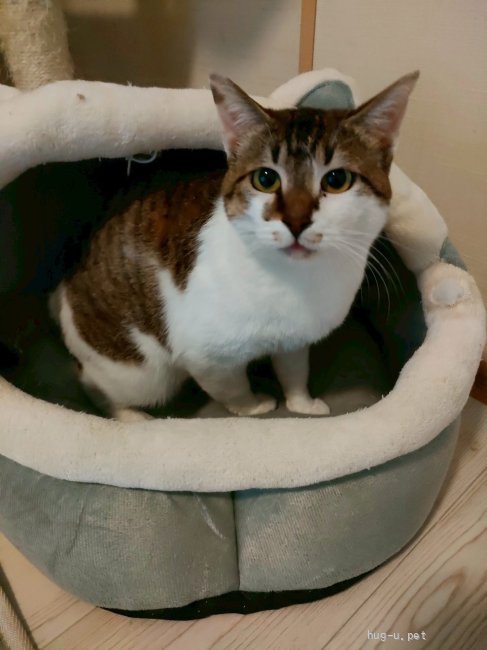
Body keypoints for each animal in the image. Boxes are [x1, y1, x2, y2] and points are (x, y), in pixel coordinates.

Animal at [54, 71, 418, 421]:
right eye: (265, 179)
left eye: (337, 180)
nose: (296, 222)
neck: (296, 281)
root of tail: (66, 287)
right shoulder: (207, 357)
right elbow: (232, 388)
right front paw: (254, 406)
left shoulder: (295, 340)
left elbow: (294, 371)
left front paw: (301, 402)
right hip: (144, 373)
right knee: (92, 381)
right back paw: (131, 416)